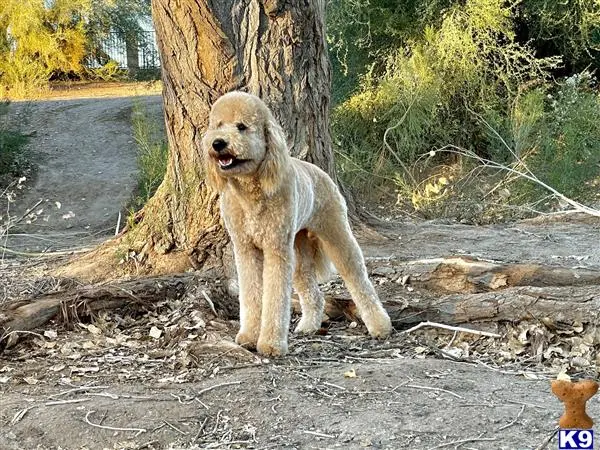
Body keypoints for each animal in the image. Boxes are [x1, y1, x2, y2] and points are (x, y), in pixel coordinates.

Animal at [204, 93, 394, 356]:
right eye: (218, 125)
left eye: (241, 126)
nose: (217, 143)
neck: (251, 192)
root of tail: (320, 172)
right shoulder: (245, 249)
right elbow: (251, 296)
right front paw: (249, 336)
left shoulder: (276, 249)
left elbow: (275, 299)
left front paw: (271, 344)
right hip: (298, 250)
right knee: (314, 293)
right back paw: (309, 326)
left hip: (336, 235)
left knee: (358, 279)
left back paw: (380, 326)